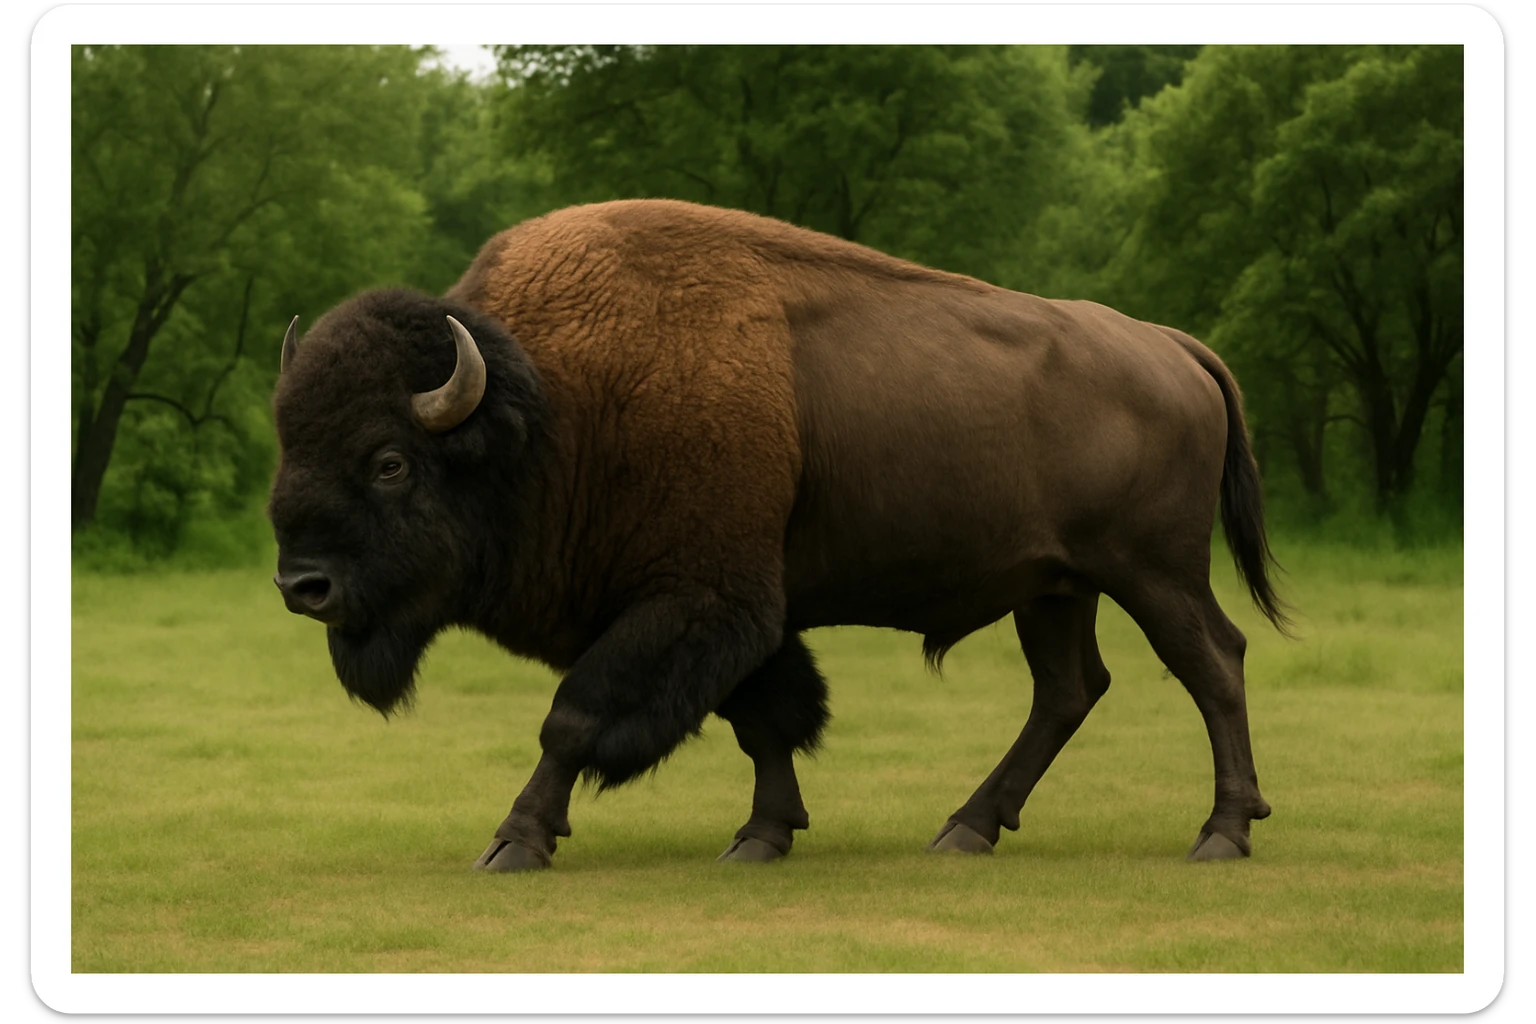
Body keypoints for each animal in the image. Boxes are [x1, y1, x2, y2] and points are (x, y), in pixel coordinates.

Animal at [268, 199, 1287, 872]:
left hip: (1154, 573)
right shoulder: (742, 610)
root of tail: (1170, 346)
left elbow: (576, 718)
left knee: (1215, 664)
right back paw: (965, 829)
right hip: (1055, 587)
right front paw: (762, 836)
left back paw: (1221, 833)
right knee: (1069, 691)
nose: (302, 586)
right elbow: (767, 718)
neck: (555, 408)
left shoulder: (695, 600)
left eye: (389, 462)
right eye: (290, 441)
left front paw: (516, 841)